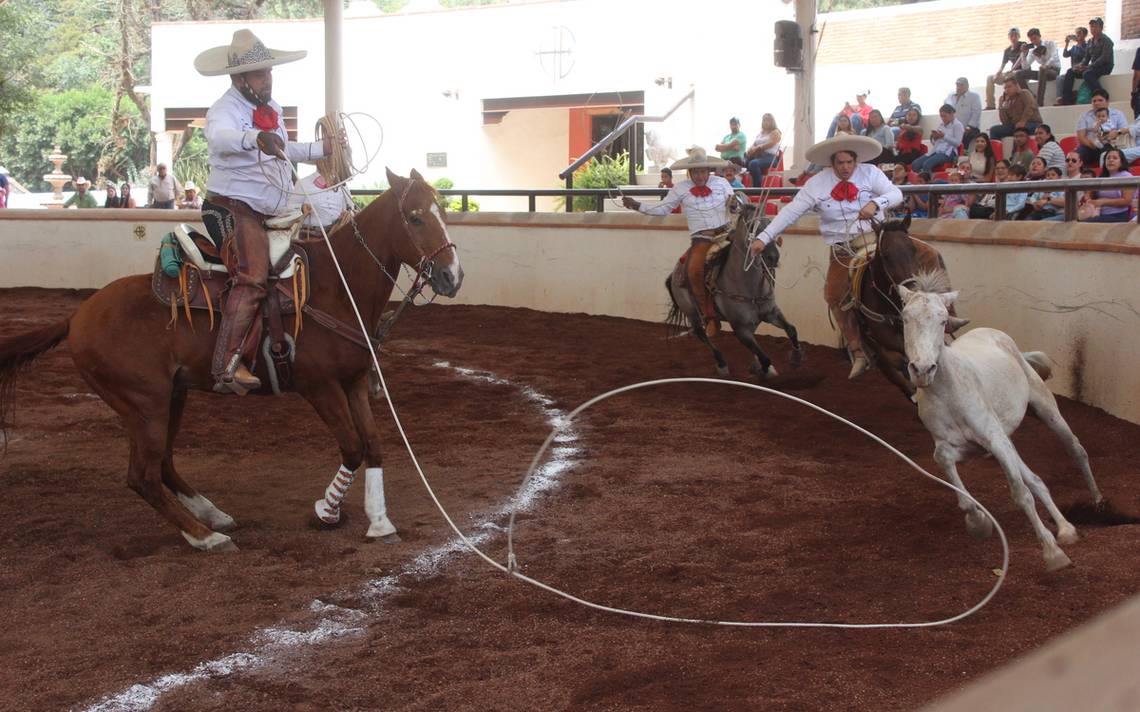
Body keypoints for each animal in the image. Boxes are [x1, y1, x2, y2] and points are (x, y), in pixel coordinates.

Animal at [1, 169, 462, 553]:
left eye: (443, 211)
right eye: (415, 218)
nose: (452, 277)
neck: (337, 287)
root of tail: (77, 316)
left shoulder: (353, 381)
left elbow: (374, 444)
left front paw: (380, 521)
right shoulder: (319, 387)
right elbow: (351, 446)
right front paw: (325, 511)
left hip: (172, 396)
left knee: (163, 464)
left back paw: (212, 514)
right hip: (143, 402)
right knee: (143, 475)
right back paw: (205, 537)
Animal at [665, 203, 802, 378]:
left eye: (771, 223)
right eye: (751, 227)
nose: (773, 257)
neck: (749, 287)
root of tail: (674, 273)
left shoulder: (771, 313)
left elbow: (791, 330)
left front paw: (796, 357)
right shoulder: (740, 328)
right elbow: (765, 357)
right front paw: (766, 369)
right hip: (692, 313)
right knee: (701, 334)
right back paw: (722, 364)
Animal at [898, 273, 1103, 571]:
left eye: (943, 320)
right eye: (905, 318)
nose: (922, 369)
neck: (949, 392)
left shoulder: (993, 440)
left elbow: (1020, 493)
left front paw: (1052, 554)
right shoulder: (963, 447)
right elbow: (947, 466)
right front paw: (978, 523)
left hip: (1044, 409)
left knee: (1075, 449)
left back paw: (1094, 503)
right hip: (1007, 441)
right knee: (1036, 479)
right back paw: (1065, 529)